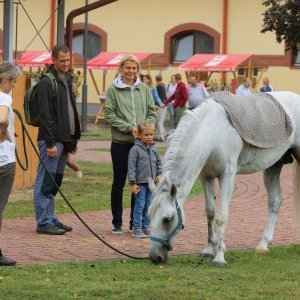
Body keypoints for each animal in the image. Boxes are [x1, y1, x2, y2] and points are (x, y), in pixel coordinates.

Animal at [148, 91, 300, 268]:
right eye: (149, 216)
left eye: (167, 219)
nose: (155, 257)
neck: (212, 132)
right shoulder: (206, 176)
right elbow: (210, 213)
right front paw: (208, 250)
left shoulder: (227, 175)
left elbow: (221, 217)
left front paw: (219, 257)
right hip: (273, 166)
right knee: (275, 200)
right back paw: (263, 245)